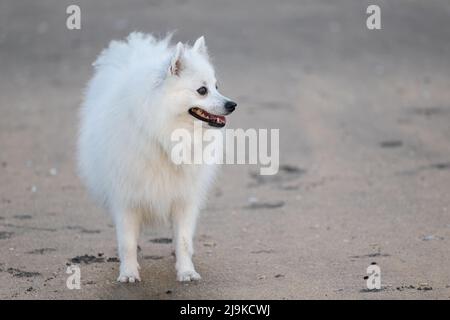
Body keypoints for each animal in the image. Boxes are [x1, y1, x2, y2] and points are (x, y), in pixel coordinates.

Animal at [78, 32, 237, 282]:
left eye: (217, 86)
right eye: (202, 90)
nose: (232, 104)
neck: (165, 135)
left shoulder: (184, 197)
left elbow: (183, 240)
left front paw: (186, 271)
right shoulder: (125, 198)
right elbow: (127, 241)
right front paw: (129, 273)